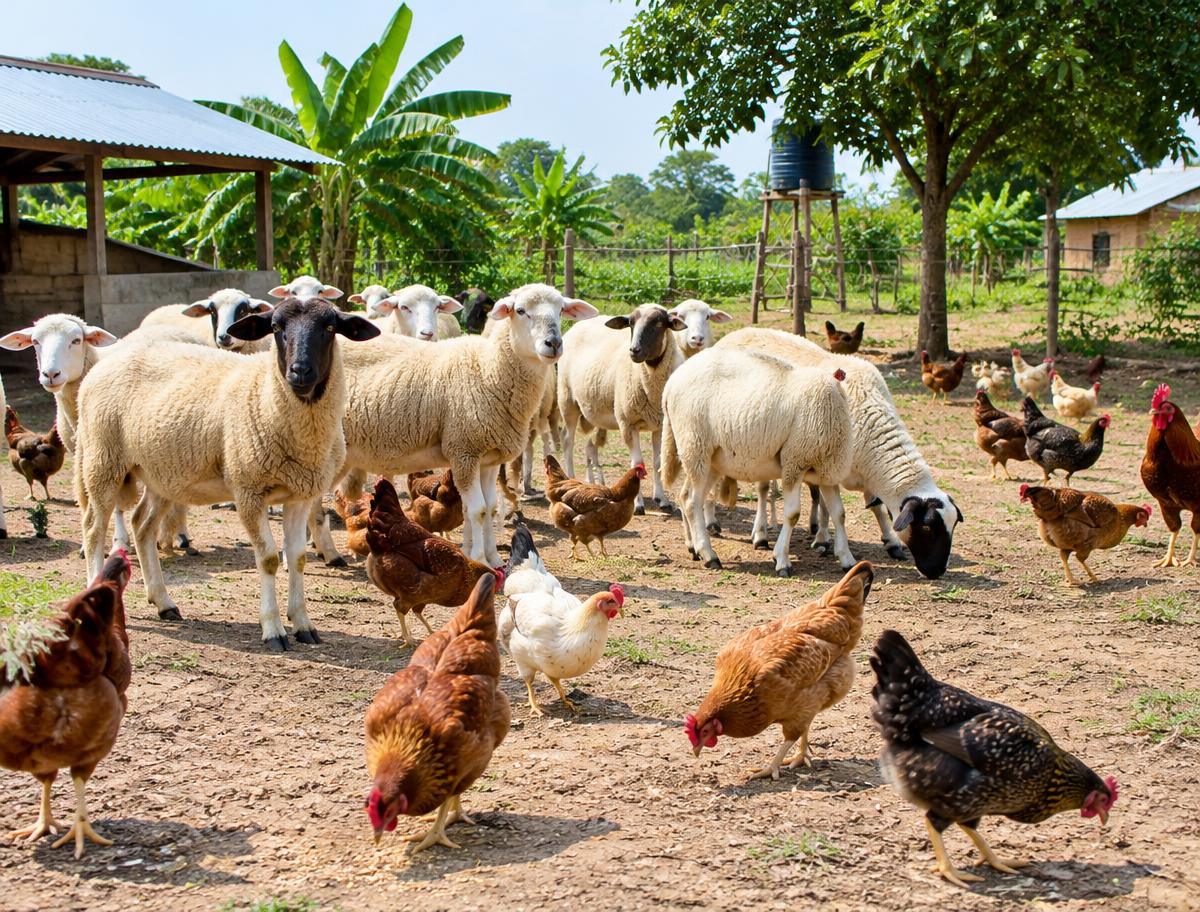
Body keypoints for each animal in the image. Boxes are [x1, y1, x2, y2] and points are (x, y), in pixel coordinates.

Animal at [74, 297, 378, 651]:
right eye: (276, 327)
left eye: (329, 327)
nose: (300, 371)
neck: (266, 395)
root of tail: (103, 365)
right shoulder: (248, 490)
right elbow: (269, 559)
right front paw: (274, 630)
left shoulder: (301, 493)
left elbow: (298, 557)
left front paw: (303, 624)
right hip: (103, 461)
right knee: (93, 529)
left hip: (160, 473)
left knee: (142, 526)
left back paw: (164, 602)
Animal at [338, 283, 598, 567]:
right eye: (520, 310)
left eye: (561, 310)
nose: (554, 343)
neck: (488, 370)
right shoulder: (464, 451)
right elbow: (478, 510)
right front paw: (479, 559)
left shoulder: (489, 458)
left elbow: (490, 507)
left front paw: (493, 558)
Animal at [557, 304, 685, 514]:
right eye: (631, 323)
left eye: (659, 323)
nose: (634, 350)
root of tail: (578, 325)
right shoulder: (628, 423)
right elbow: (637, 463)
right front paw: (638, 504)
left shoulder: (660, 425)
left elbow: (657, 462)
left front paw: (662, 499)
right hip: (567, 401)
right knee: (568, 441)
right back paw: (570, 477)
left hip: (594, 413)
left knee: (590, 447)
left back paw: (594, 483)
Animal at [661, 348, 853, 575]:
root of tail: (671, 383)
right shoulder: (794, 463)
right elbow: (793, 514)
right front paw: (782, 560)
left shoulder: (827, 472)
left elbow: (839, 513)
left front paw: (847, 559)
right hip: (695, 444)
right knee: (692, 502)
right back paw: (709, 555)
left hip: (708, 459)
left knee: (685, 497)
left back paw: (694, 549)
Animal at [715, 327, 963, 579]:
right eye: (927, 527)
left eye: (953, 525)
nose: (937, 571)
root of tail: (738, 332)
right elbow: (830, 507)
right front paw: (824, 540)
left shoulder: (861, 470)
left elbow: (873, 506)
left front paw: (891, 542)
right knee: (762, 489)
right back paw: (756, 533)